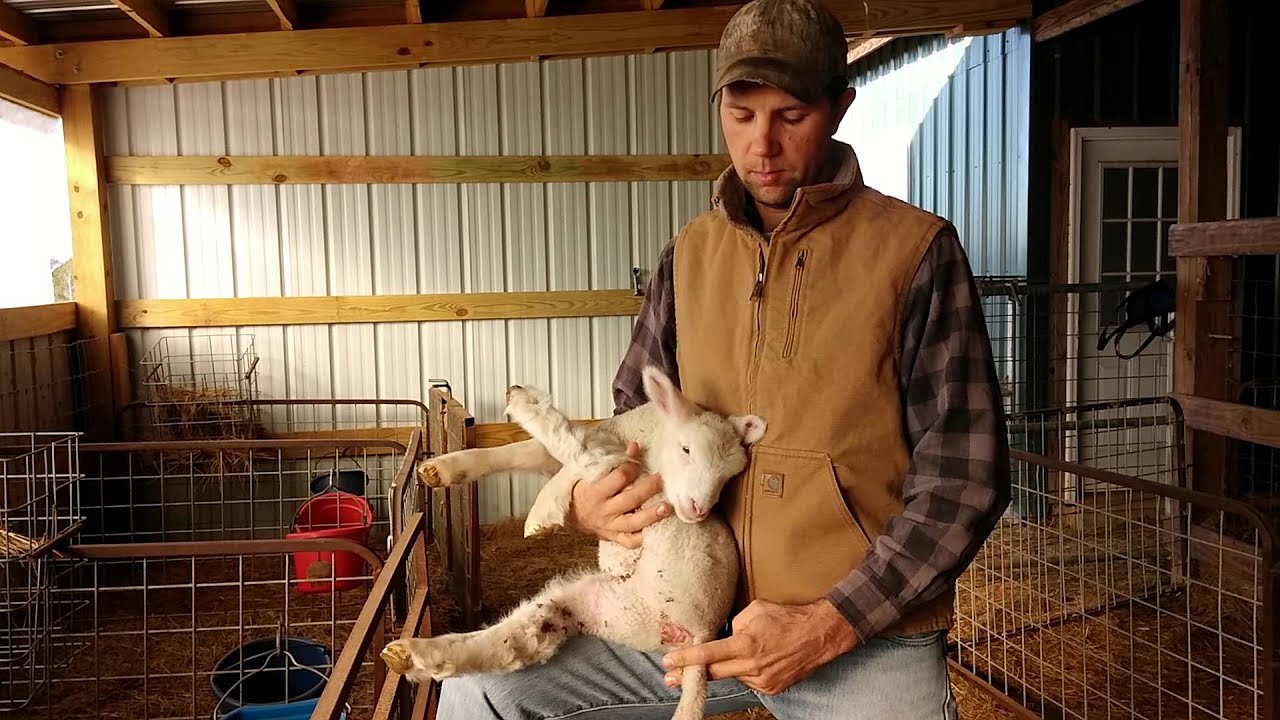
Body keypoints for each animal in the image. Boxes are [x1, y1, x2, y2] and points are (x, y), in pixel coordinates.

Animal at [380, 366, 766, 720]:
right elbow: (526, 452)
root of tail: (699, 636)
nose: (699, 511)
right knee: (518, 642)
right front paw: (442, 469)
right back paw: (412, 655)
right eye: (687, 450)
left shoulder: (621, 470)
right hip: (600, 605)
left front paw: (524, 404)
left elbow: (571, 443)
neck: (645, 439)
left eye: (729, 477)